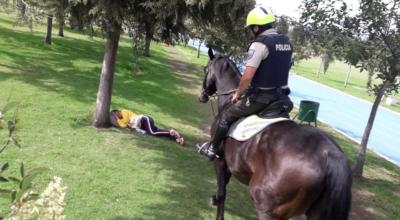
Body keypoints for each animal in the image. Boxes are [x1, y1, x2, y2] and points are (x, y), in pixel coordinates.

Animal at [198, 51, 352, 220]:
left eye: (205, 69)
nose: (202, 96)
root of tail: (329, 154)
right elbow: (224, 185)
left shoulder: (220, 160)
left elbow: (222, 192)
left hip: (267, 206)